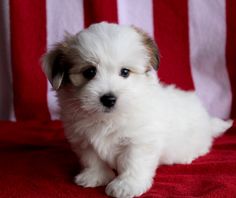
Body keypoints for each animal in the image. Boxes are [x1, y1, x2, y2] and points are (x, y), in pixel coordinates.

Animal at [42, 22, 232, 197]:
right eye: (89, 72)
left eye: (125, 72)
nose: (109, 99)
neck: (108, 118)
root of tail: (207, 120)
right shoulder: (83, 139)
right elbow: (92, 159)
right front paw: (95, 176)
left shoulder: (140, 140)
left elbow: (133, 162)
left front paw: (126, 185)